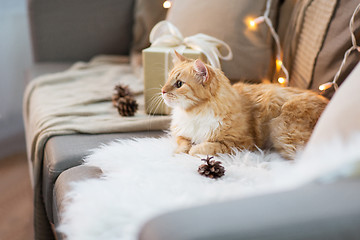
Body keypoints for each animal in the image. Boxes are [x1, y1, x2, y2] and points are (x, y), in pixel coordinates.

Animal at [161, 51, 330, 158]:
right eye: (167, 80)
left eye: (179, 84)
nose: (162, 91)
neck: (195, 112)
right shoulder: (181, 133)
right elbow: (183, 142)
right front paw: (179, 152)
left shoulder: (241, 143)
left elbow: (207, 147)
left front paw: (193, 149)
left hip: (281, 130)